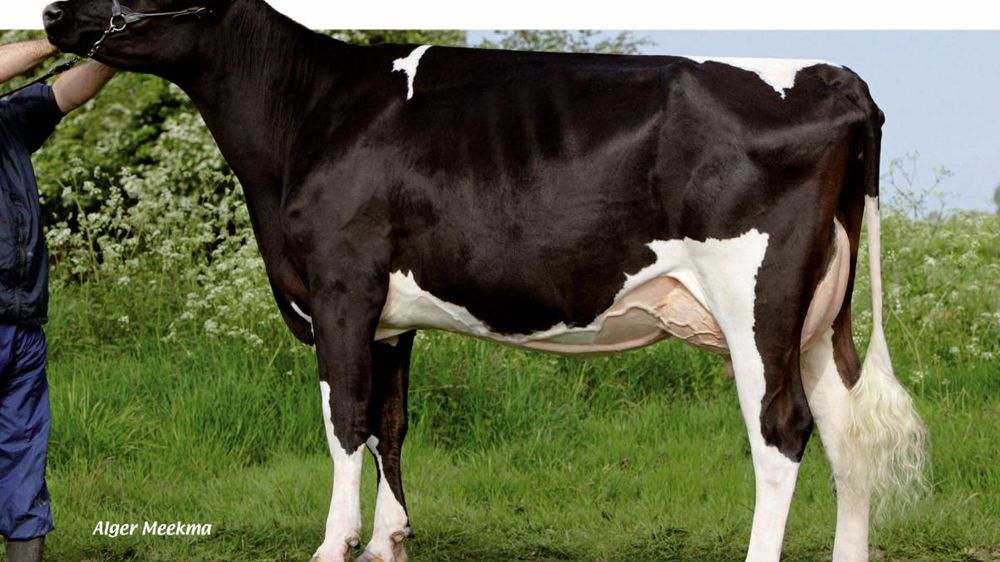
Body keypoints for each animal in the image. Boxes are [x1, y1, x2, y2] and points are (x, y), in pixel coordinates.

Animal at [43, 1, 927, 561]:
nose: (50, 13)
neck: (307, 115)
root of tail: (835, 76)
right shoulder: (390, 316)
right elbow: (389, 426)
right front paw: (388, 540)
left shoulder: (340, 287)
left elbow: (344, 421)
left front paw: (335, 542)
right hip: (820, 317)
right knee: (847, 436)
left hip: (757, 303)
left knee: (782, 432)